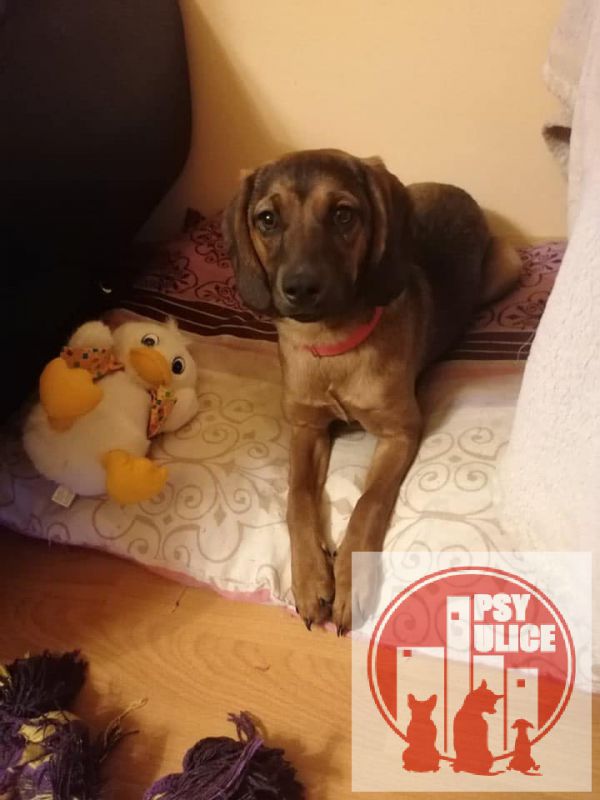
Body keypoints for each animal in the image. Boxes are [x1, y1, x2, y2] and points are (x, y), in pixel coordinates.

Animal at [223, 149, 520, 633]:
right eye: (267, 219)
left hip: (507, 267)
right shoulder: (306, 426)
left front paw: (350, 582)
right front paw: (311, 578)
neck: (332, 346)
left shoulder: (401, 430)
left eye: (343, 214)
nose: (300, 288)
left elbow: (368, 502)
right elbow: (297, 496)